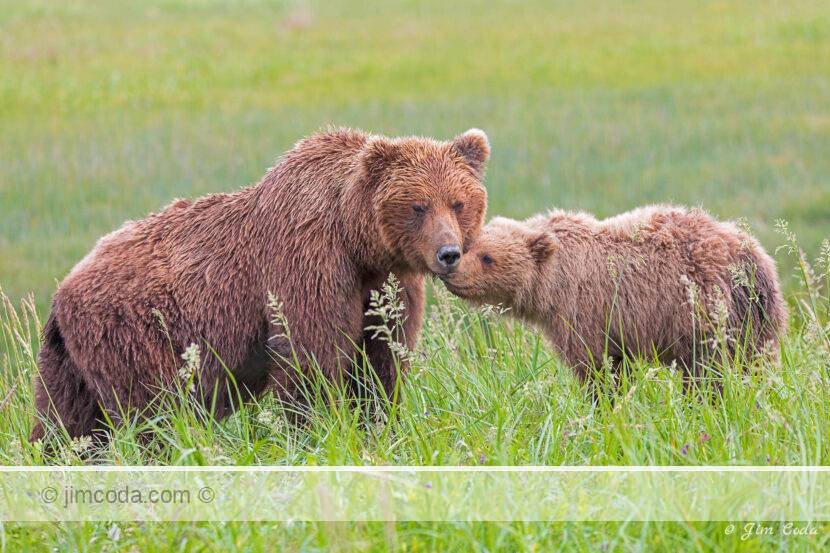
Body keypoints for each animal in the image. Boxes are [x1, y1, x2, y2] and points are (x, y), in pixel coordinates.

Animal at [31, 127, 490, 440]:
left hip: (70, 359)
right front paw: (317, 431)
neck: (356, 239)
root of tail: (63, 288)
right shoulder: (308, 263)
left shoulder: (386, 282)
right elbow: (310, 358)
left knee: (66, 421)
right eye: (418, 206)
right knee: (153, 410)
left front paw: (377, 426)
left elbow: (382, 360)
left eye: (458, 202)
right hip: (133, 332)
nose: (448, 253)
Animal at [440, 205, 787, 382]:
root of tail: (755, 258)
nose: (451, 270)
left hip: (705, 311)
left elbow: (596, 366)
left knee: (710, 370)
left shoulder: (585, 309)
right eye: (469, 248)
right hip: (755, 319)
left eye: (487, 257)